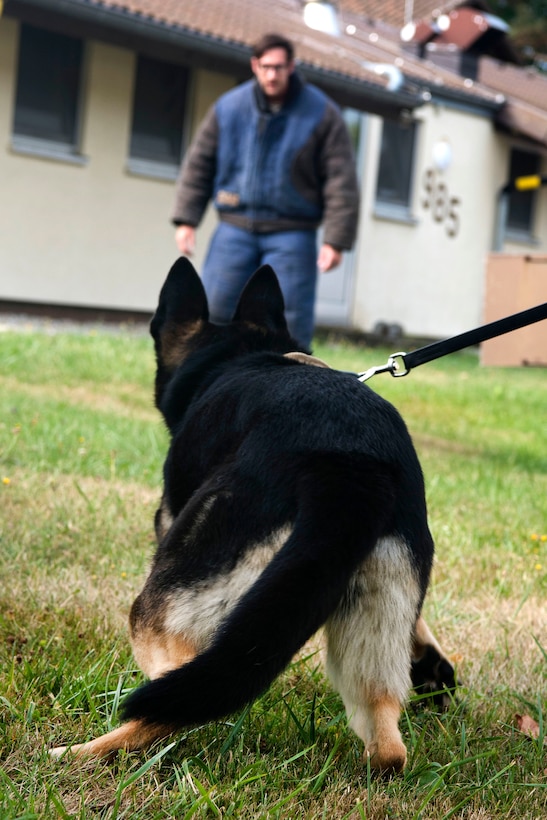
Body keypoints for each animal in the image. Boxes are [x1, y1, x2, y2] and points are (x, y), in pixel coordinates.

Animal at [52, 260, 454, 772]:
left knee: (176, 696)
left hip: (168, 604)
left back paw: (81, 752)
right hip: (370, 618)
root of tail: (351, 465)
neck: (245, 354)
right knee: (388, 747)